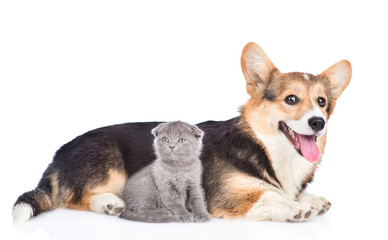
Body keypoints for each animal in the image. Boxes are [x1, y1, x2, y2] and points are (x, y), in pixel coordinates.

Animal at [12, 42, 352, 222]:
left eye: (321, 102)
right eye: (291, 99)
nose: (318, 122)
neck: (266, 147)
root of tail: (56, 157)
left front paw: (312, 198)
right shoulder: (228, 197)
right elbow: (270, 195)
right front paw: (297, 207)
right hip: (110, 164)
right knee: (77, 197)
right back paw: (108, 203)